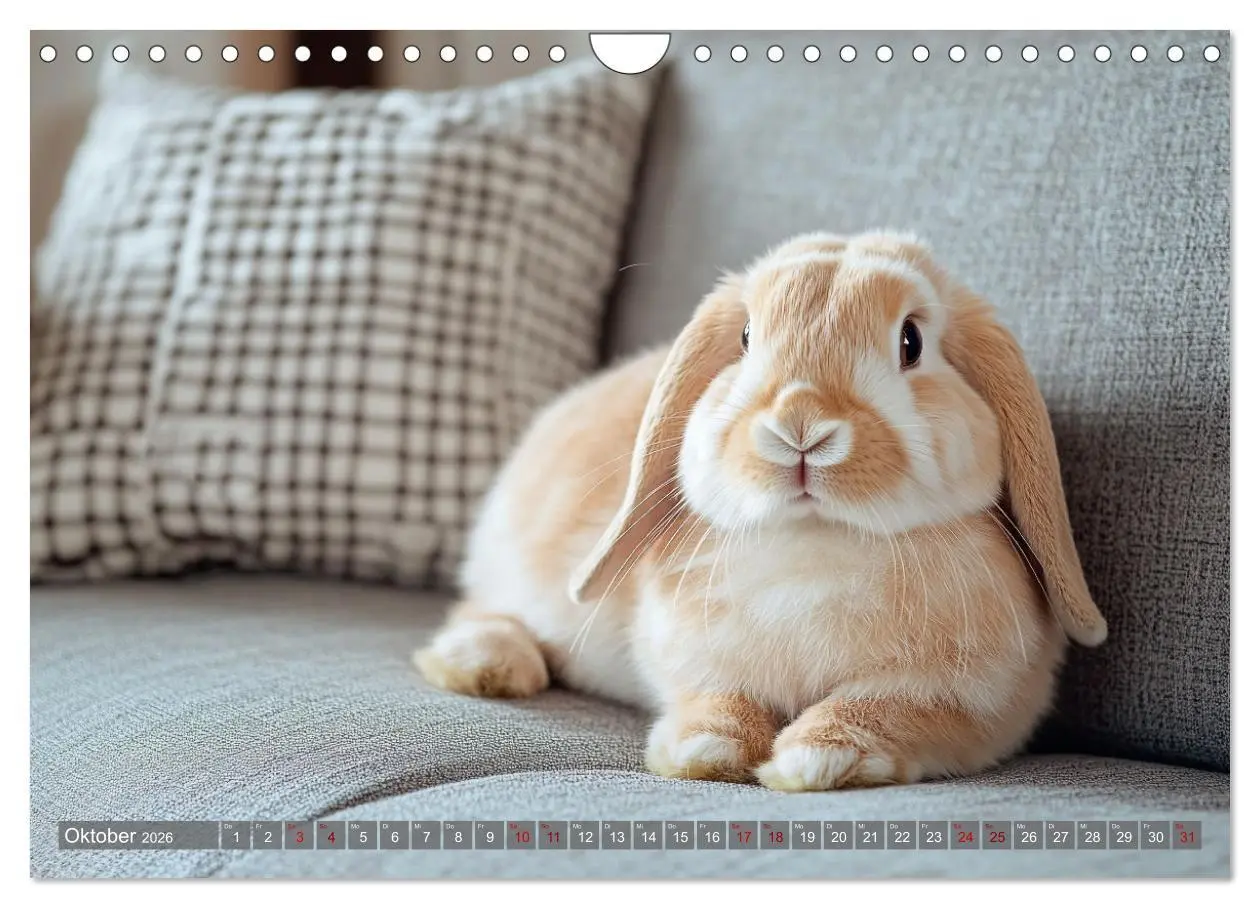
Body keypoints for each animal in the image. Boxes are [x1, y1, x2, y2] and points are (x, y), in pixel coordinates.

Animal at [414, 230, 1108, 791]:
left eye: (911, 341)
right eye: (746, 338)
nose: (800, 425)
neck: (816, 542)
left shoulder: (969, 700)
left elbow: (881, 708)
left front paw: (818, 761)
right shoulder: (695, 660)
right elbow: (718, 699)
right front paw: (704, 752)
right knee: (485, 606)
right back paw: (484, 665)